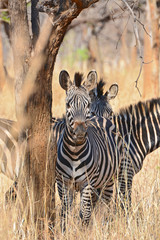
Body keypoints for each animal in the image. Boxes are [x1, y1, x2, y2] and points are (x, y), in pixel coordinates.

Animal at [56, 70, 125, 232]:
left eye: (87, 105)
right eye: (68, 104)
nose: (80, 131)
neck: (74, 151)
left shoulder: (87, 183)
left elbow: (85, 213)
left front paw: (83, 232)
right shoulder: (62, 183)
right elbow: (65, 211)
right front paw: (63, 232)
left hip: (108, 180)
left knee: (104, 204)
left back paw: (103, 226)